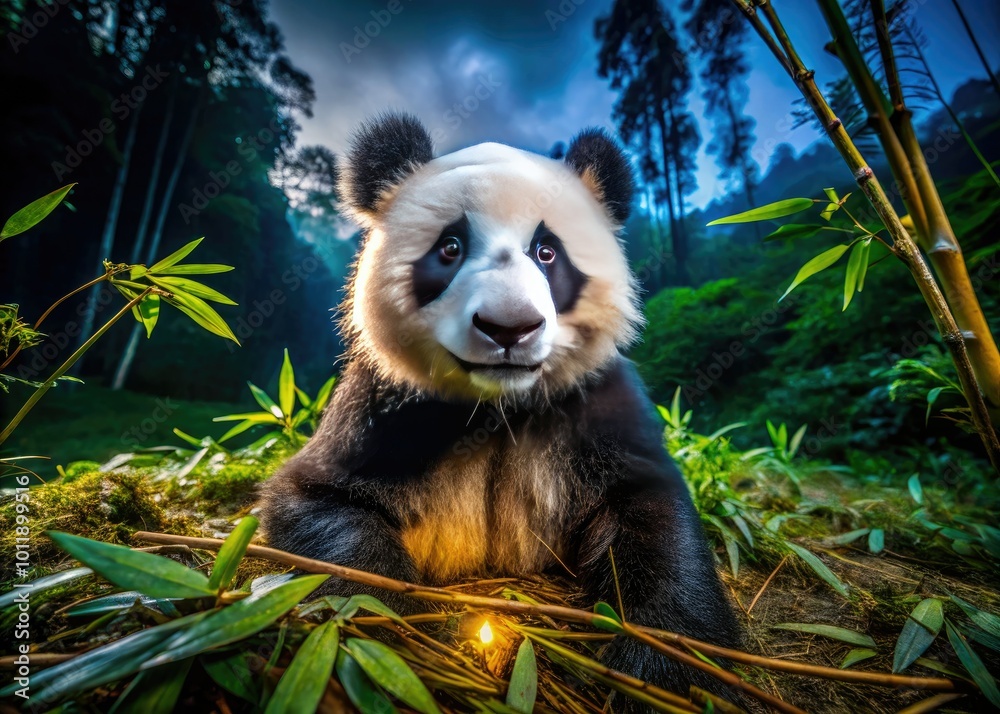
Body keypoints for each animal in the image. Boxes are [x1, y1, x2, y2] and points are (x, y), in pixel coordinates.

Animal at [260, 112, 739, 702]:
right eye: (450, 247)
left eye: (547, 252)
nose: (509, 327)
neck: (499, 407)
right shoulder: (385, 408)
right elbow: (323, 503)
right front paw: (389, 630)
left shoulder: (595, 403)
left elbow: (653, 513)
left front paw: (668, 671)